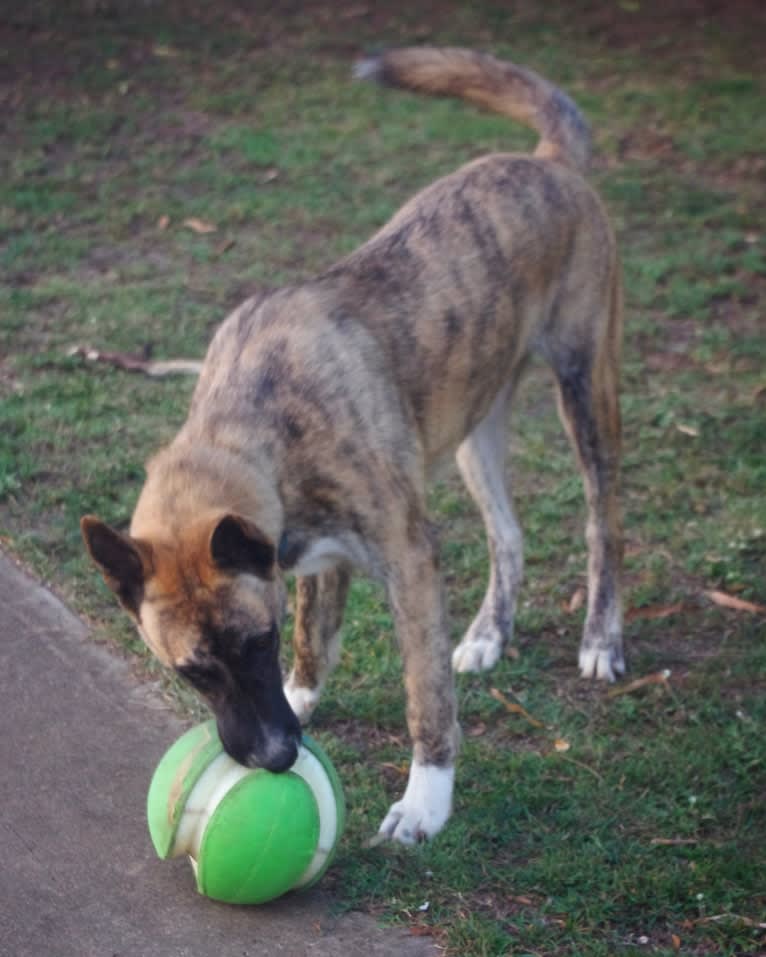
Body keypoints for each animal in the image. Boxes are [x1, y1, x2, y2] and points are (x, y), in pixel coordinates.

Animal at [82, 50, 624, 844]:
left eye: (258, 642)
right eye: (193, 672)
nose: (275, 759)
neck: (254, 419)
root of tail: (548, 162)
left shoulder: (410, 559)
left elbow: (425, 693)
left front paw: (425, 802)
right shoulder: (310, 554)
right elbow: (320, 635)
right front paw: (305, 697)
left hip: (585, 388)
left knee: (602, 522)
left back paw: (602, 638)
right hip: (476, 426)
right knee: (508, 532)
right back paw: (490, 633)